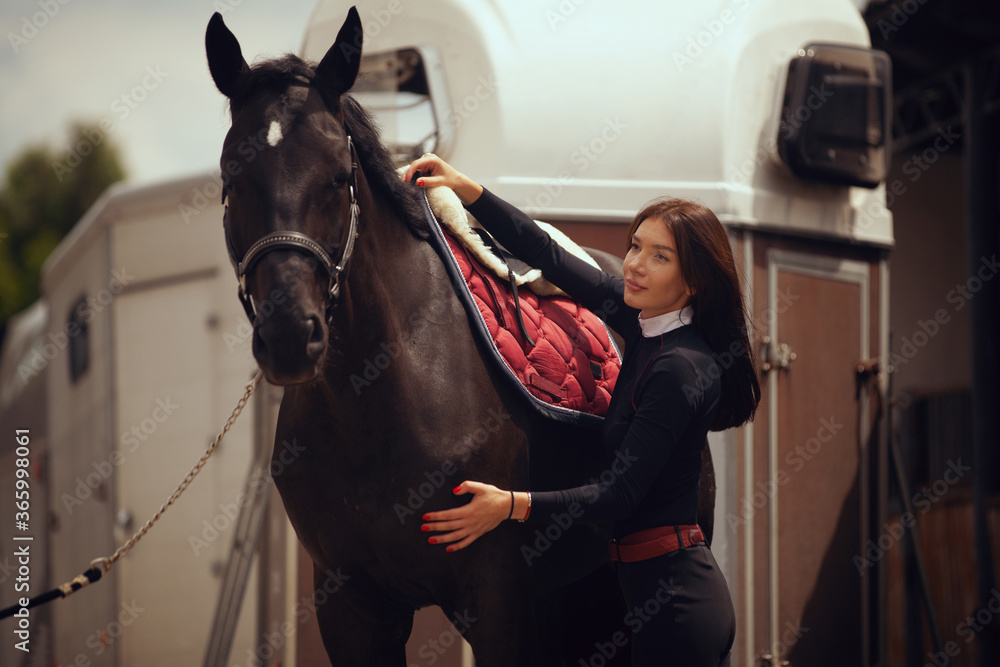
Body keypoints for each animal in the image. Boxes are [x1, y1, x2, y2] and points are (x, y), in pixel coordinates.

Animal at [205, 7, 712, 664]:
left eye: (338, 176)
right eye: (229, 179)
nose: (290, 333)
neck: (382, 399)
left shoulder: (501, 606)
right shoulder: (351, 608)